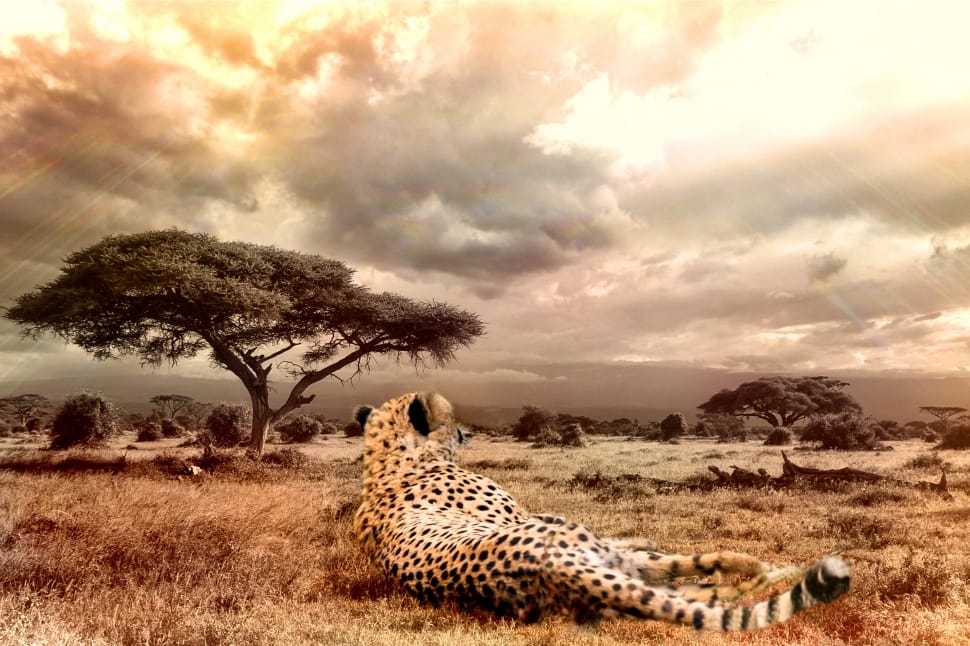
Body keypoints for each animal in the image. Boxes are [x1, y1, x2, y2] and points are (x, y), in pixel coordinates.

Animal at [353, 391, 849, 631]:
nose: (467, 432)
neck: (388, 461)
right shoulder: (526, 516)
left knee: (671, 581)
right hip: (585, 544)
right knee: (675, 570)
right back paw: (759, 567)